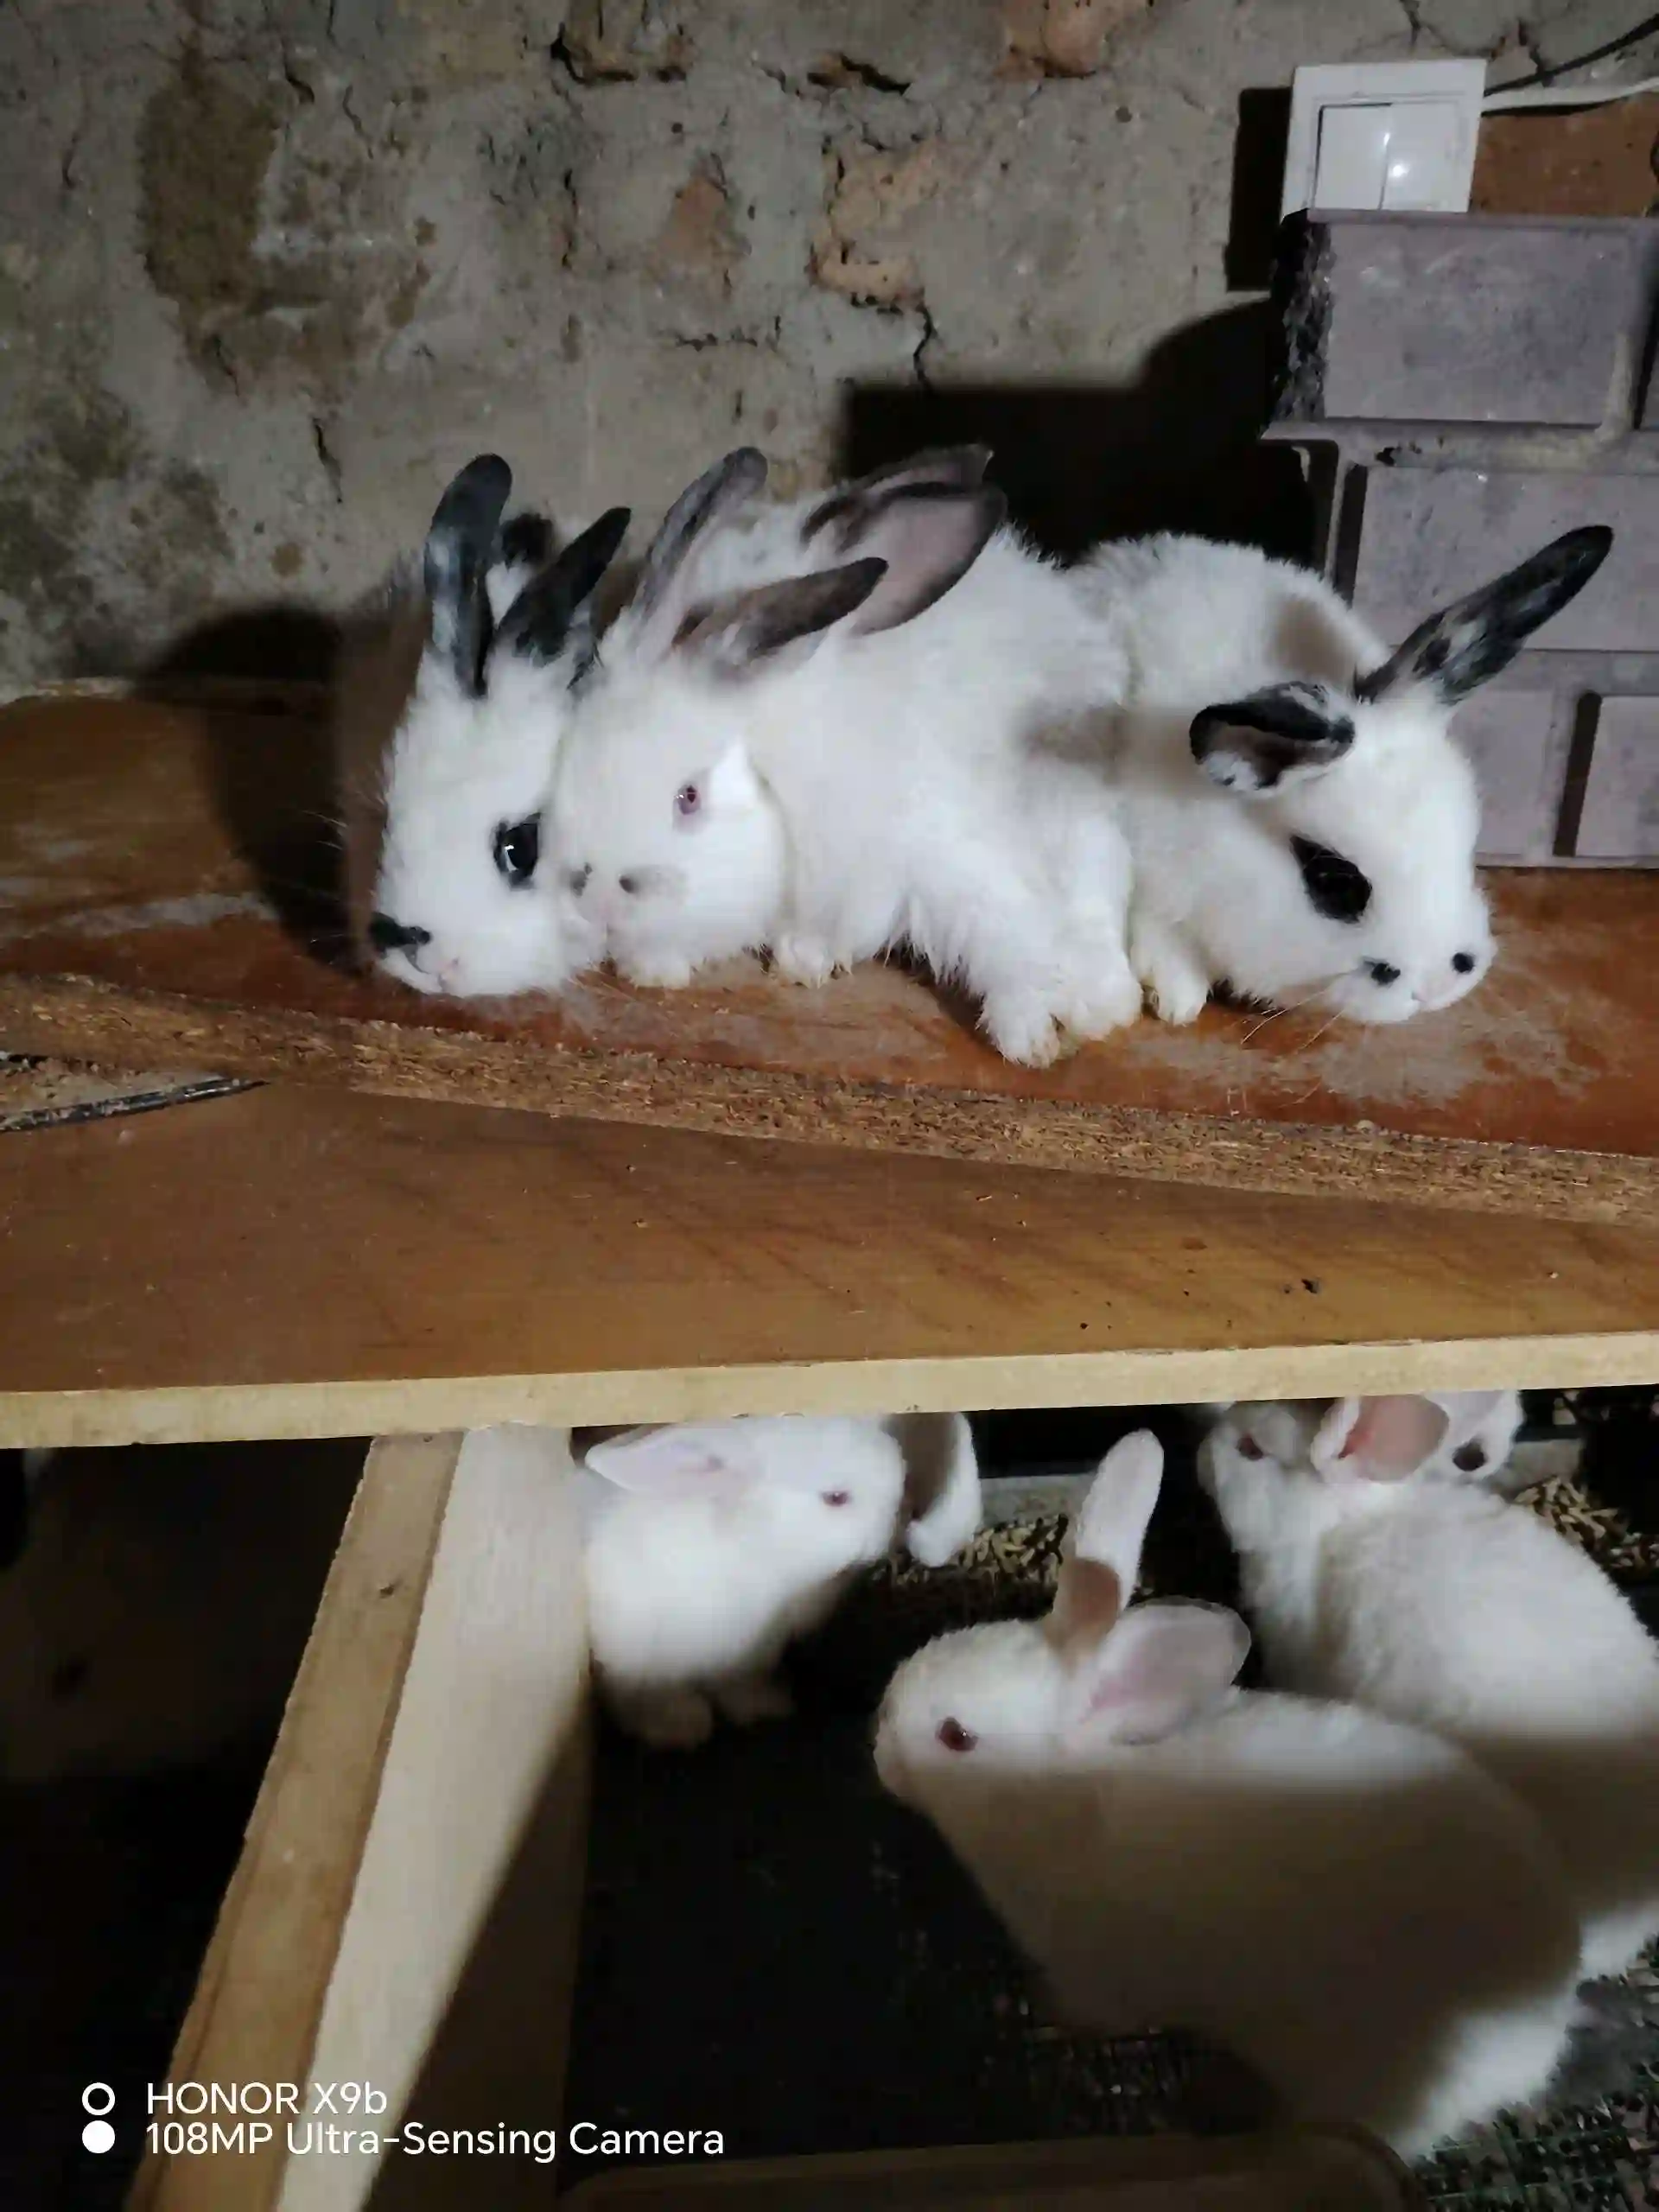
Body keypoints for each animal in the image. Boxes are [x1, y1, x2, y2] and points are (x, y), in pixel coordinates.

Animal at [547, 444, 1143, 1066]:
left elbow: (1004, 928)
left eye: (688, 798)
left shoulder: (940, 840)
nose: (597, 897)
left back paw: (1103, 1003)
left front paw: (1034, 1032)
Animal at [580, 1412, 981, 1750]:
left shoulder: (745, 1661)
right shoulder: (633, 1661)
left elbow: (740, 1687)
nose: (904, 1512)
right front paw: (680, 1727)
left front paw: (765, 1707)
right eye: (836, 1498)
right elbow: (643, 1698)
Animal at [874, 1431, 1583, 2158]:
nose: (878, 1749)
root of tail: (1546, 2024)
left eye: (956, 1736)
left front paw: (1048, 2011)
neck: (1062, 1799)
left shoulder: (1099, 1974)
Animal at [1078, 524, 1612, 1026]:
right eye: (1334, 882)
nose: (1435, 986)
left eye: (1466, 846)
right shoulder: (1154, 878)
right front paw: (1178, 1001)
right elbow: (1162, 935)